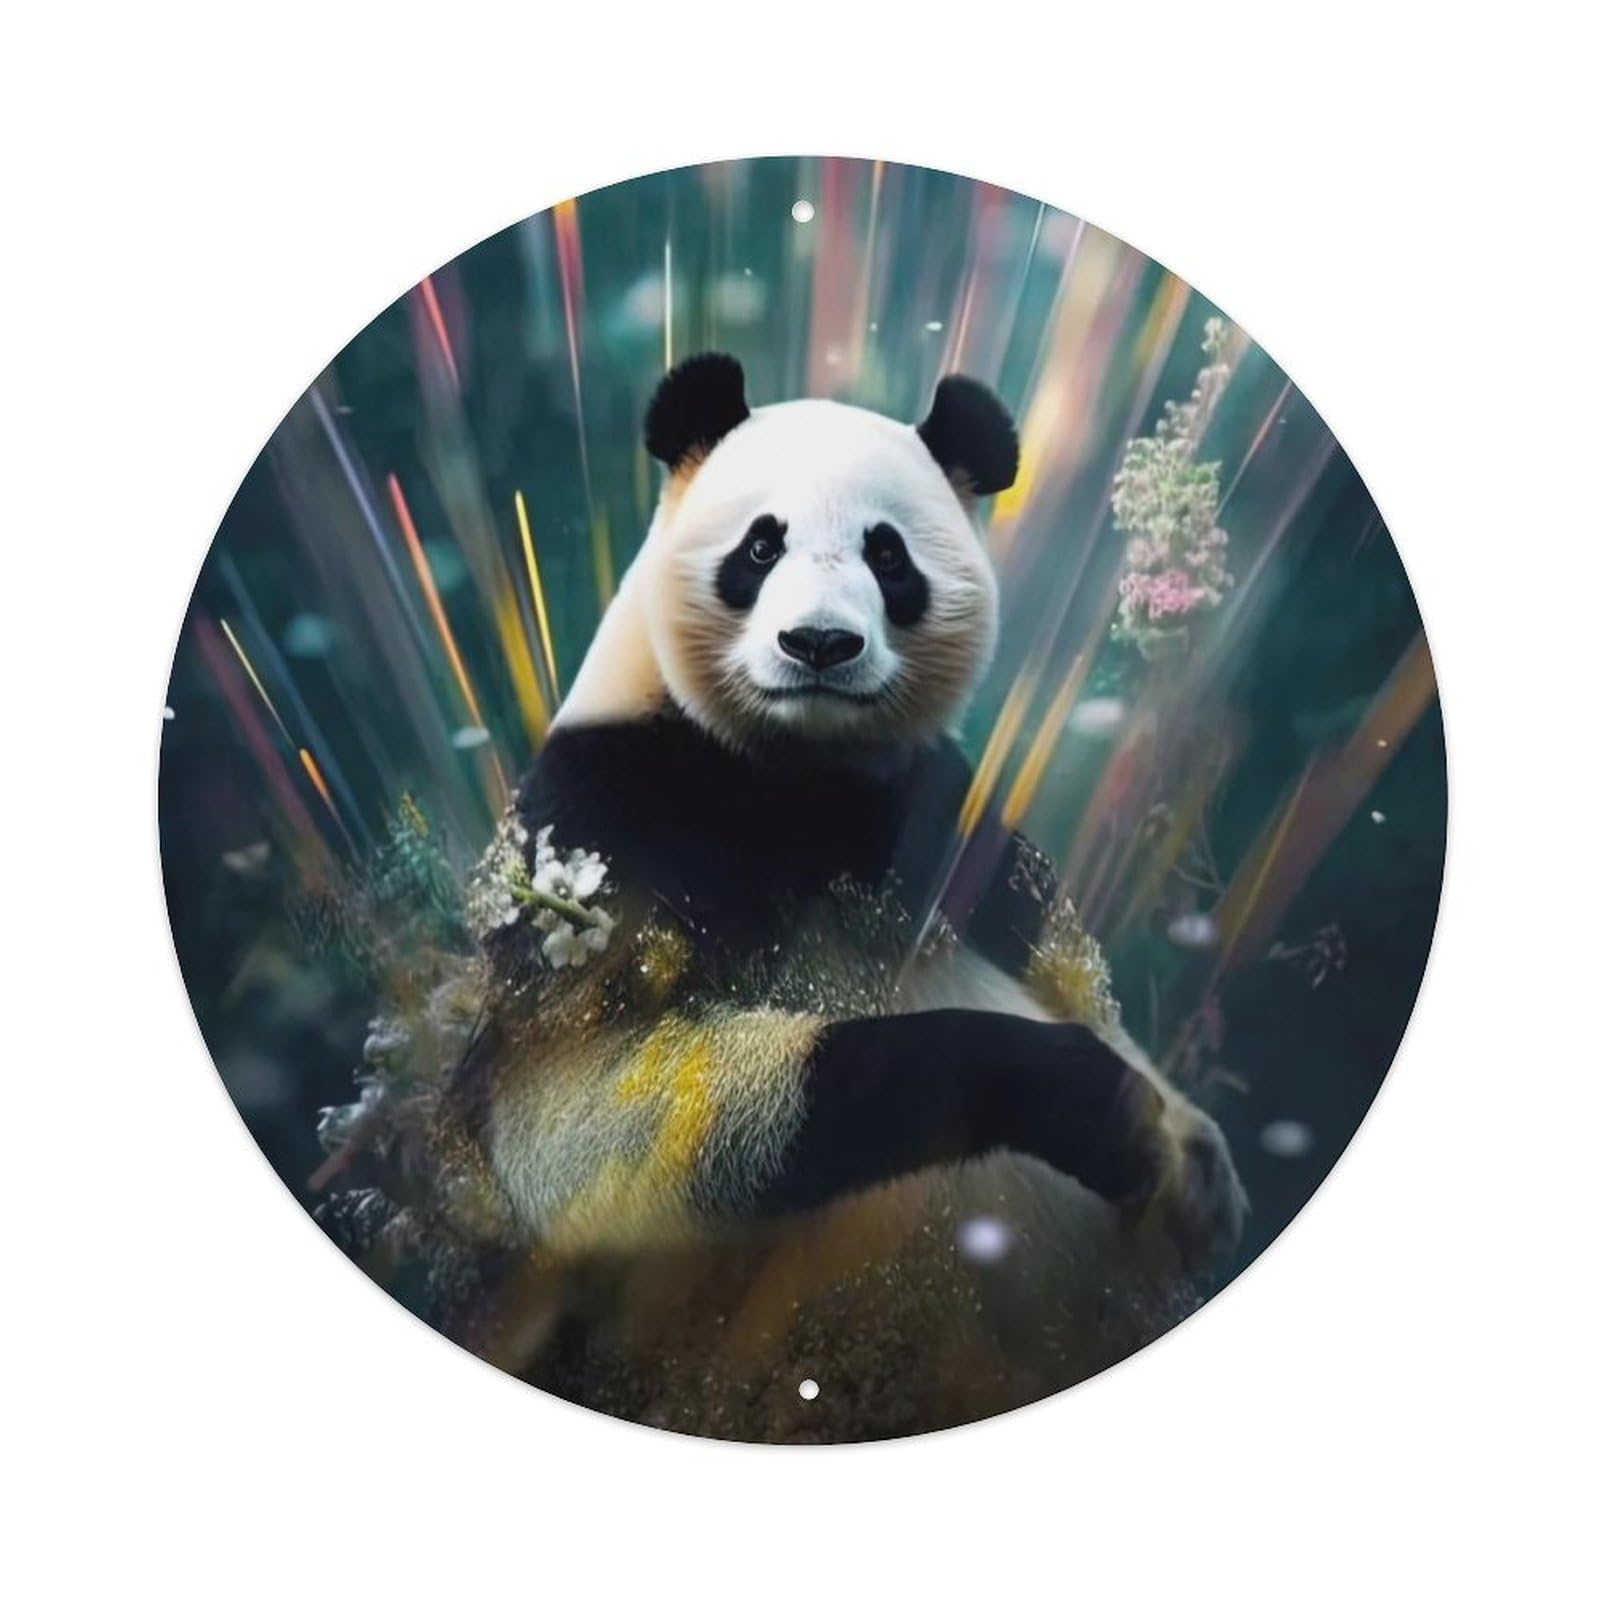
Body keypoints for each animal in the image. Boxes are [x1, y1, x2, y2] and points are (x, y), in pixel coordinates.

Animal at [398, 353, 1245, 1442]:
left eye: (888, 556)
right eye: (761, 545)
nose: (819, 644)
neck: (795, 771)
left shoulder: (950, 815)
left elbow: (1071, 969)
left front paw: (1191, 1160)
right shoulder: (604, 819)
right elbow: (591, 1117)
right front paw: (1092, 1104)